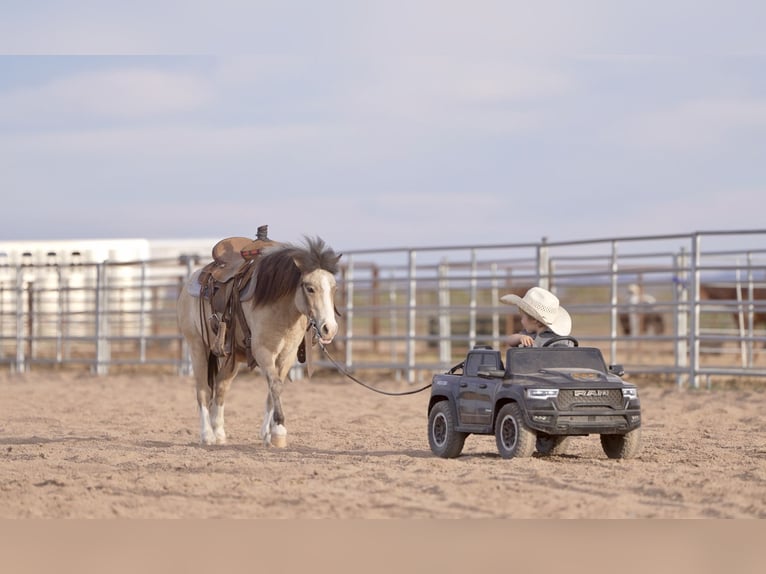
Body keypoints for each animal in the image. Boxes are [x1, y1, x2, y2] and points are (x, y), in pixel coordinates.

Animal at [176, 236, 342, 447]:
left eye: (334, 288)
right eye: (310, 288)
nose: (330, 328)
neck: (279, 305)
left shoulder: (286, 356)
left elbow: (274, 389)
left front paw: (268, 435)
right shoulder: (263, 352)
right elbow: (275, 386)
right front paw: (279, 431)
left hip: (231, 357)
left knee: (221, 387)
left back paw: (219, 433)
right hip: (197, 347)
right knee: (203, 390)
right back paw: (207, 435)